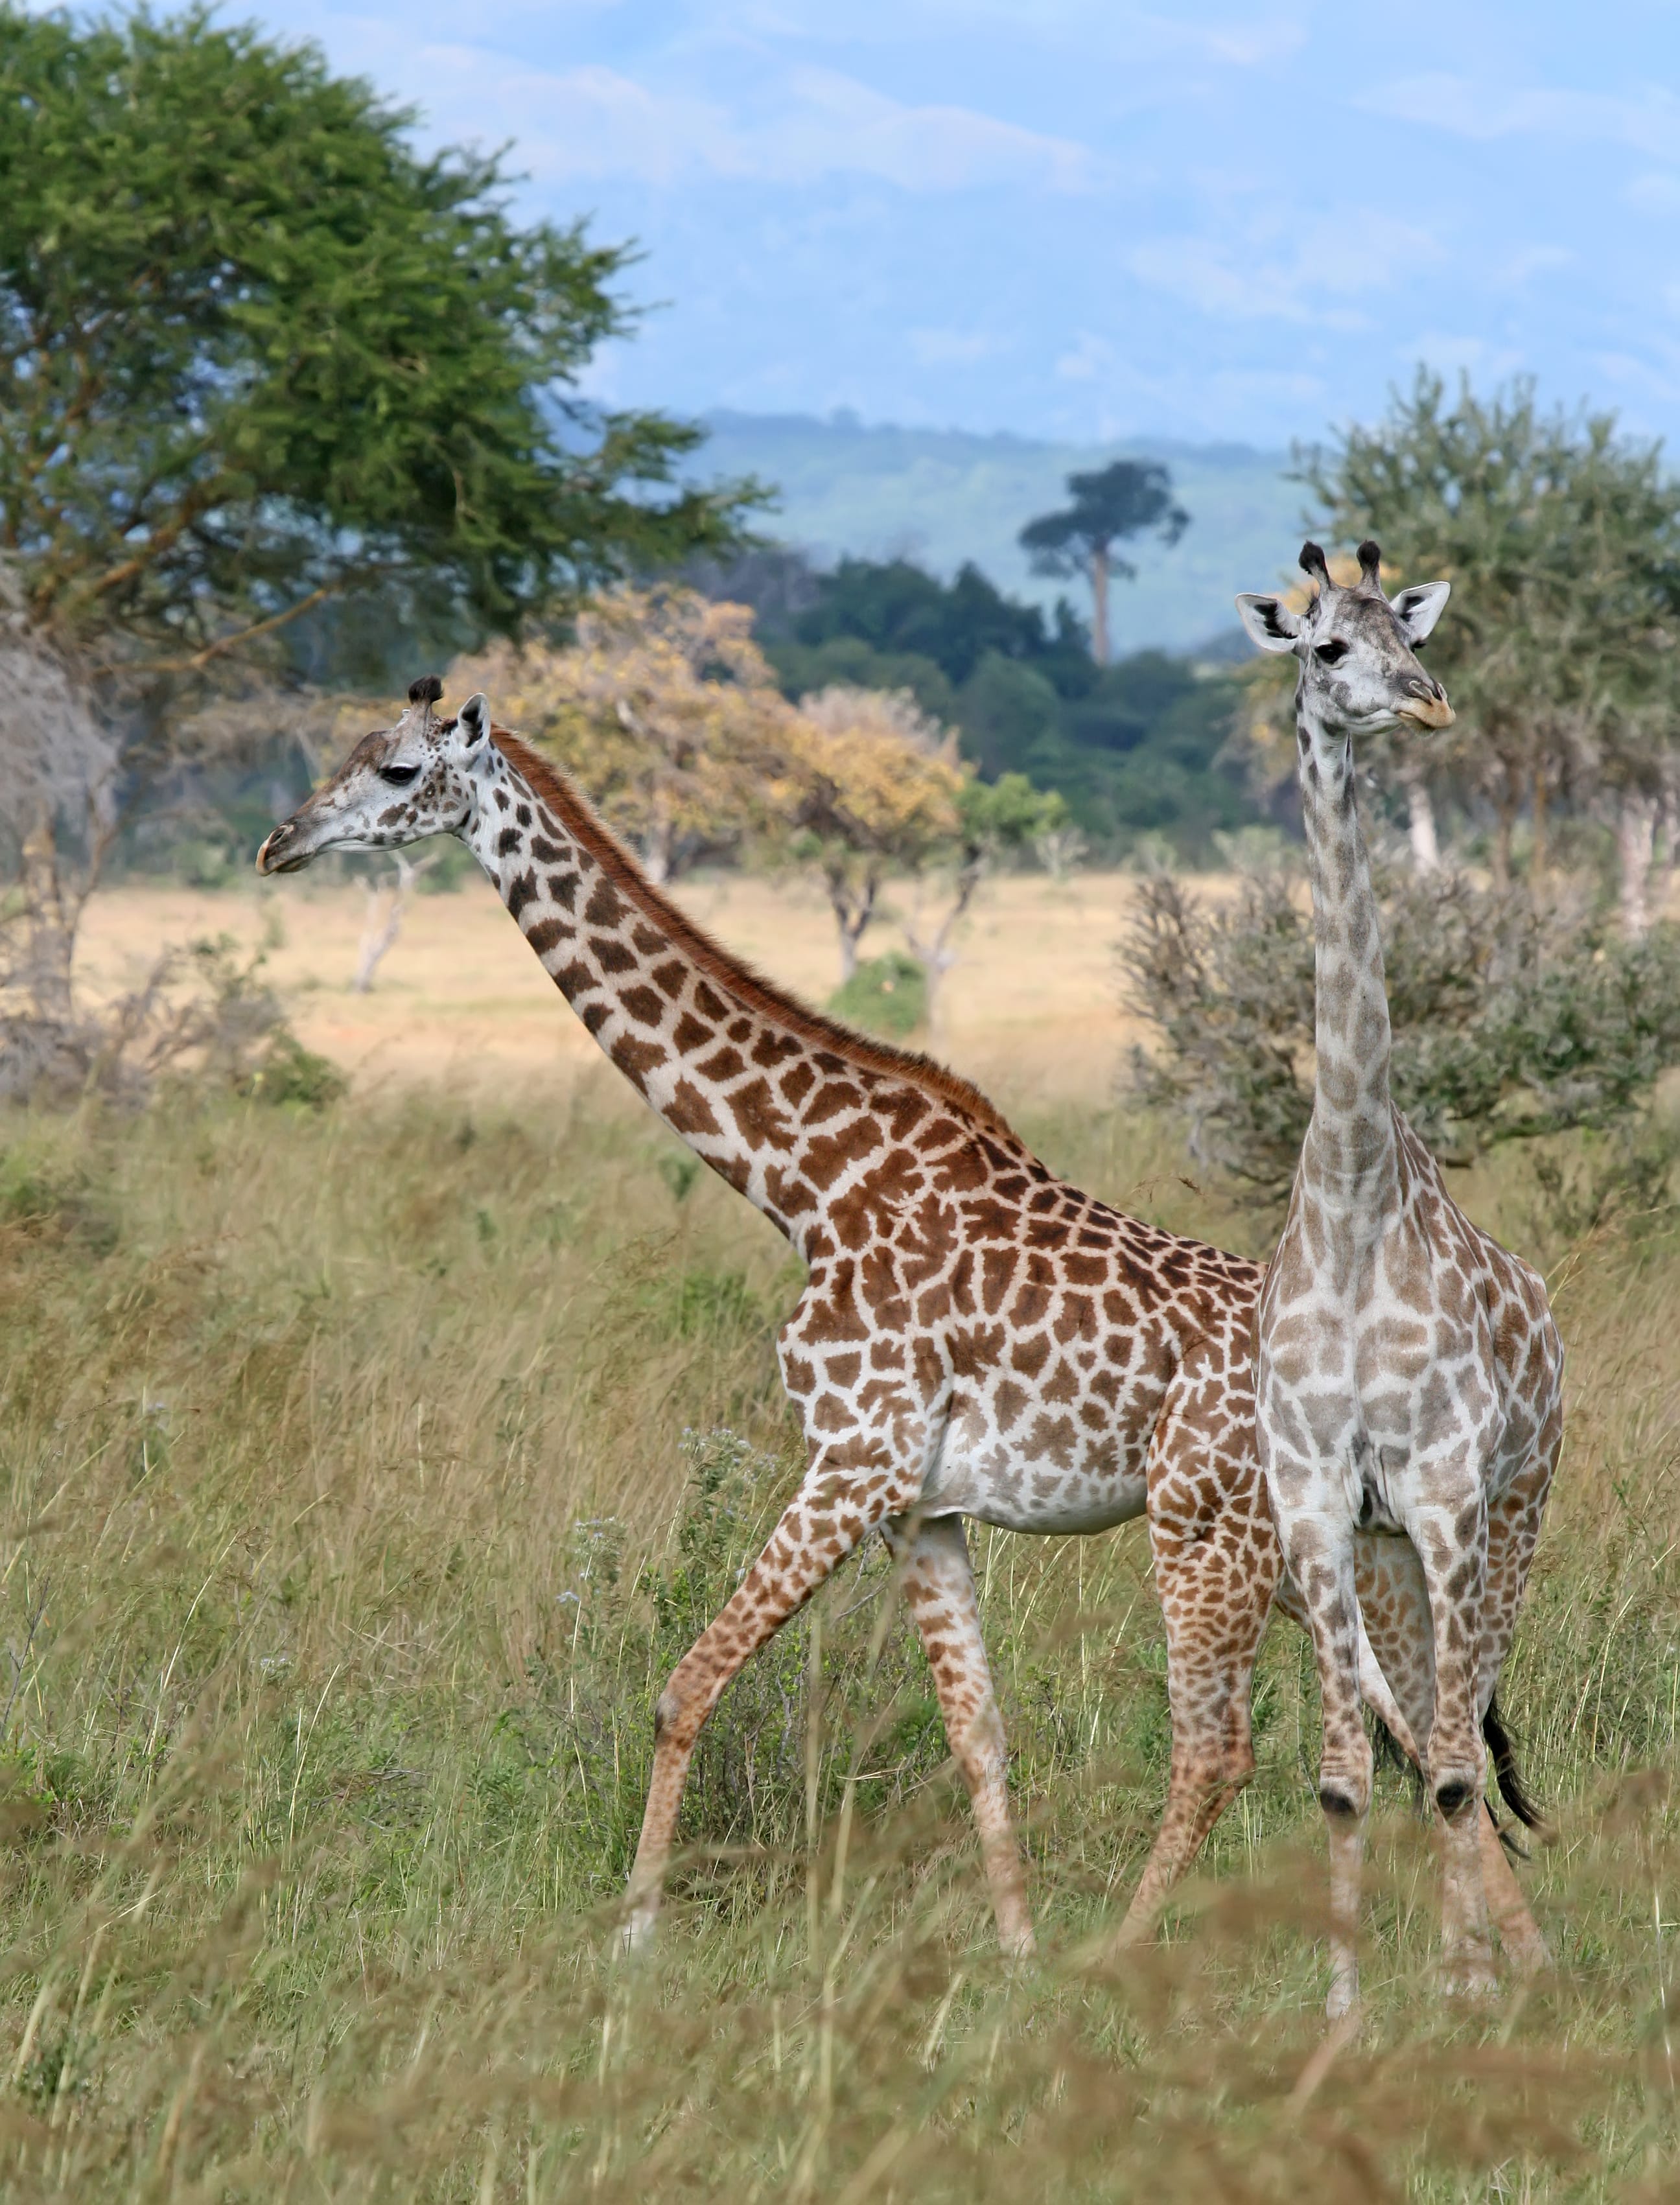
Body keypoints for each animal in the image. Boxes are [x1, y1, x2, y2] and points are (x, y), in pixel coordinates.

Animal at [256, 674, 1545, 1963]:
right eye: (348, 751)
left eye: (397, 771)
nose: (278, 844)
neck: (803, 1181)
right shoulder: (919, 1507)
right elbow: (978, 1733)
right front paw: (1014, 1953)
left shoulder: (852, 1459)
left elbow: (684, 1686)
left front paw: (633, 1937)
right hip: (1324, 1547)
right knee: (1434, 1732)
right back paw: (1520, 1961)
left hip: (1212, 1529)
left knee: (1232, 1748)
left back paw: (1133, 1956)